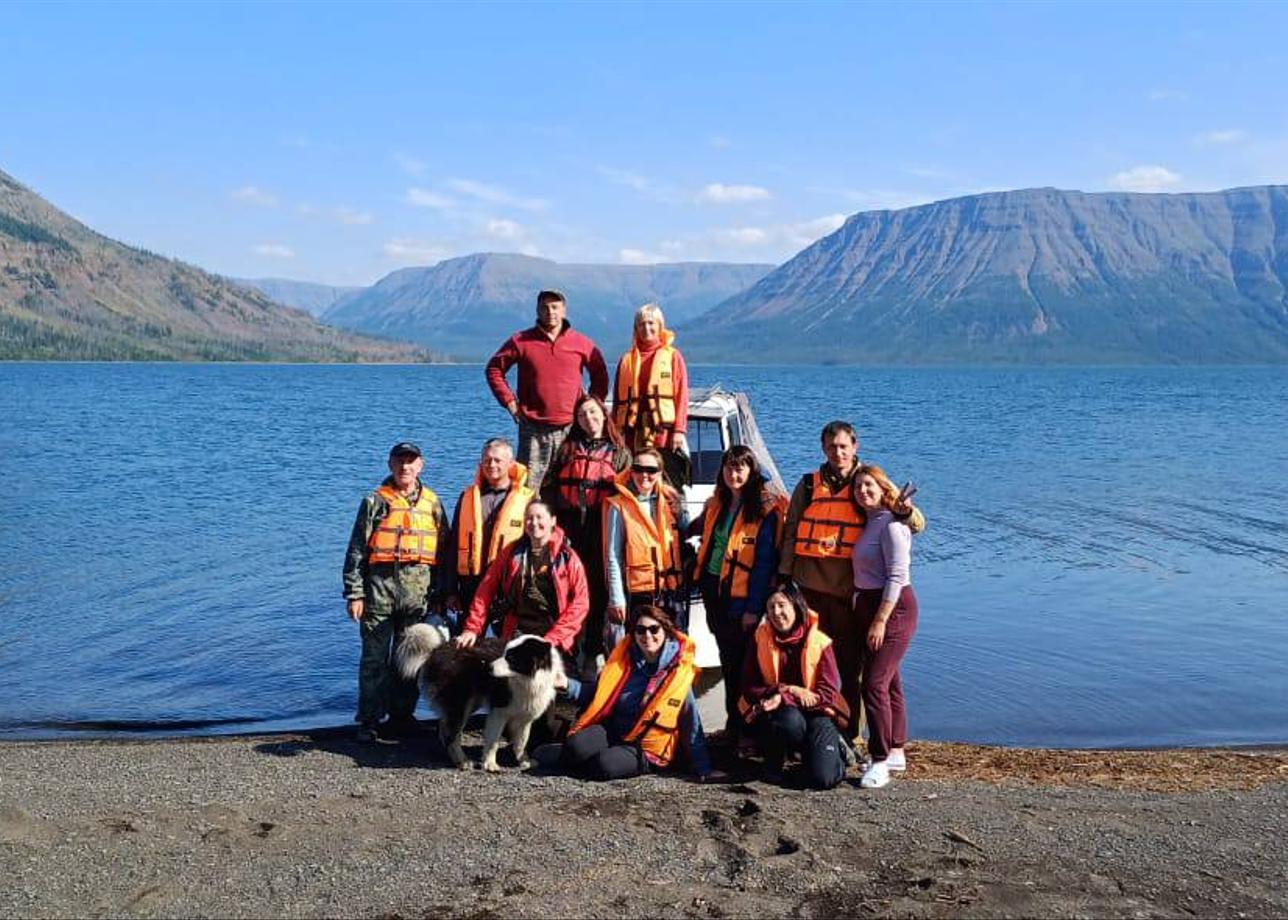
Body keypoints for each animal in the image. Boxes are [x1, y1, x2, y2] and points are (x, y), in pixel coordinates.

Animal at [391, 623, 564, 767]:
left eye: (511, 658)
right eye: (505, 654)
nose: (488, 668)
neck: (527, 680)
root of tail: (437, 649)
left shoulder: (525, 716)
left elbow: (522, 741)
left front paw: (524, 761)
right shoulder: (499, 711)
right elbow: (493, 740)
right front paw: (490, 764)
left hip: (470, 702)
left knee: (445, 728)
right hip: (461, 704)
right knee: (452, 735)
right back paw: (462, 761)